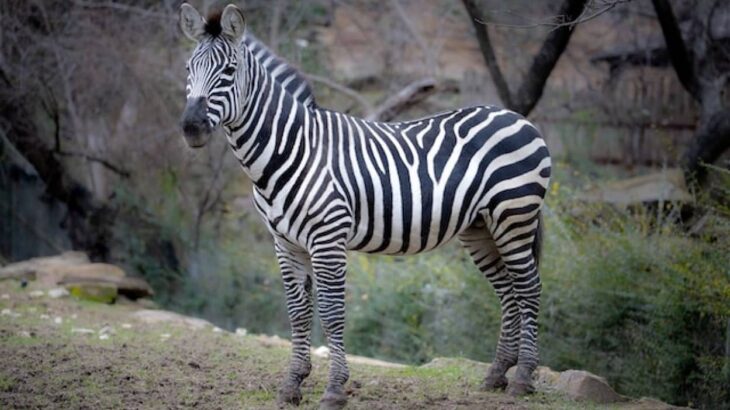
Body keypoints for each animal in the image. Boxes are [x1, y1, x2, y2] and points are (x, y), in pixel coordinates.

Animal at [179, 4, 548, 410]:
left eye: (229, 71)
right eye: (188, 68)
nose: (191, 127)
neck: (292, 150)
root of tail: (515, 116)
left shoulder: (327, 239)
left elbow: (331, 312)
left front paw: (334, 389)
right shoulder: (285, 243)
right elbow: (297, 313)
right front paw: (292, 384)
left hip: (514, 215)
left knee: (529, 287)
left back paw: (523, 378)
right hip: (481, 228)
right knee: (509, 291)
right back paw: (497, 374)